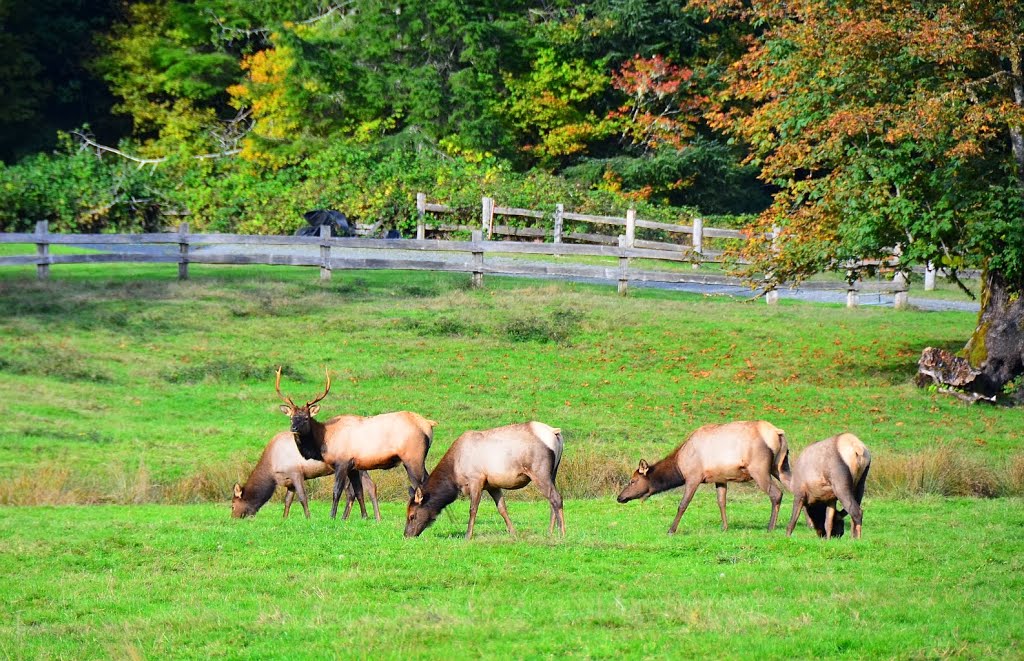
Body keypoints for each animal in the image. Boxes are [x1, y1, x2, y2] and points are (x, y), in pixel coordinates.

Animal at [228, 431, 380, 519]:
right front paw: (284, 518)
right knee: (368, 487)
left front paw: (308, 517)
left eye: (233, 505)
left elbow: (302, 497)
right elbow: (288, 500)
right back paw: (373, 517)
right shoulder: (289, 482)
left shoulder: (296, 473)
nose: (233, 518)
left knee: (358, 490)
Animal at [272, 368, 436, 523]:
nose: (293, 428)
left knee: (421, 484)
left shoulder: (342, 462)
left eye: (306, 418)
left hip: (413, 458)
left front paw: (332, 516)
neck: (323, 441)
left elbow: (337, 491)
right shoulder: (354, 467)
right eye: (292, 417)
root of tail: (428, 424)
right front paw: (364, 517)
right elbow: (358, 492)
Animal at [403, 421, 565, 540]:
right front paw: (513, 533)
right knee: (552, 500)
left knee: (556, 498)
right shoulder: (492, 485)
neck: (454, 473)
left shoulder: (476, 479)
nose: (406, 535)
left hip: (539, 471)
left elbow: (473, 509)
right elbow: (502, 508)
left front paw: (468, 535)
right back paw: (550, 532)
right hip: (553, 472)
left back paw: (562, 533)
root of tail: (555, 432)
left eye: (412, 516)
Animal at [614, 421, 790, 536]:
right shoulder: (720, 478)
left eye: (632, 481)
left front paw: (671, 530)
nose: (620, 497)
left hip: (759, 468)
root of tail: (778, 433)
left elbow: (683, 504)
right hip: (780, 467)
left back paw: (770, 527)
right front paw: (724, 527)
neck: (679, 464)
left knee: (776, 494)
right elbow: (721, 502)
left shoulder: (693, 476)